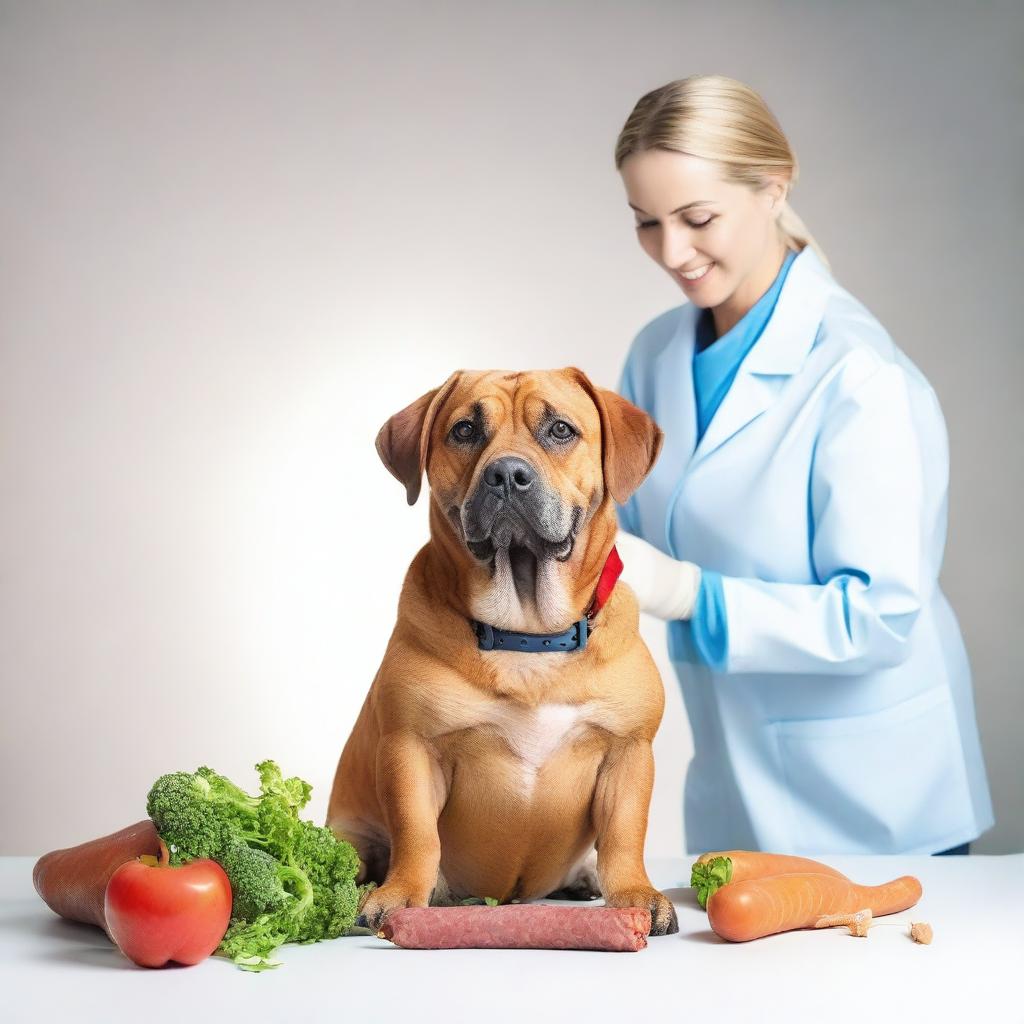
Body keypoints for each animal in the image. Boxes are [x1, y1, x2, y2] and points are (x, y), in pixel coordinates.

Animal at [327, 368, 679, 937]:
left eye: (560, 429)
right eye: (465, 430)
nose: (508, 475)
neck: (527, 630)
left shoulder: (628, 751)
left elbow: (625, 834)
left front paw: (635, 894)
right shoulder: (412, 750)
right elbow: (417, 834)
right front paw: (402, 895)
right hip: (350, 837)